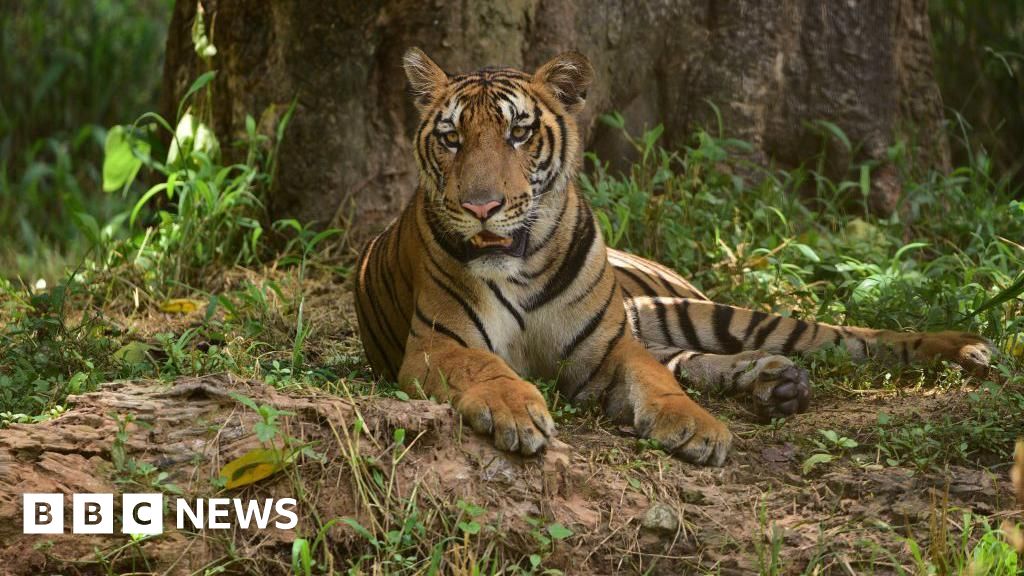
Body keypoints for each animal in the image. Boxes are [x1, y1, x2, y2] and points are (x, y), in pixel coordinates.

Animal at [353, 48, 993, 466]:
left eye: (518, 133)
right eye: (451, 138)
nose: (481, 206)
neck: (523, 266)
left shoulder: (607, 349)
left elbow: (657, 383)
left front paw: (697, 428)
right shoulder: (436, 346)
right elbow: (487, 367)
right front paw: (516, 410)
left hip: (699, 311)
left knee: (842, 336)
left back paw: (962, 347)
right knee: (693, 358)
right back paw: (776, 382)